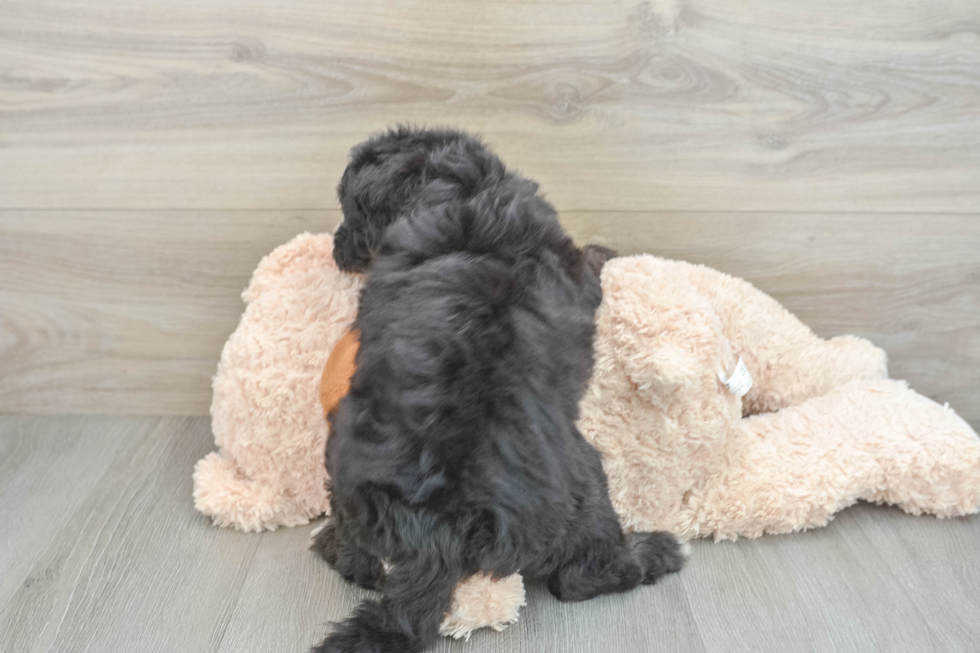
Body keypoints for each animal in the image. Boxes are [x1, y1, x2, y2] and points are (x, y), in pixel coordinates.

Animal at [312, 127, 680, 652]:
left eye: (349, 209)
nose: (336, 247)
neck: (462, 190)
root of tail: (437, 537)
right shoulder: (574, 271)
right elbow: (589, 264)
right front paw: (605, 252)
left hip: (347, 481)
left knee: (359, 561)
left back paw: (329, 542)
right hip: (585, 487)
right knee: (582, 576)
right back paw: (657, 550)